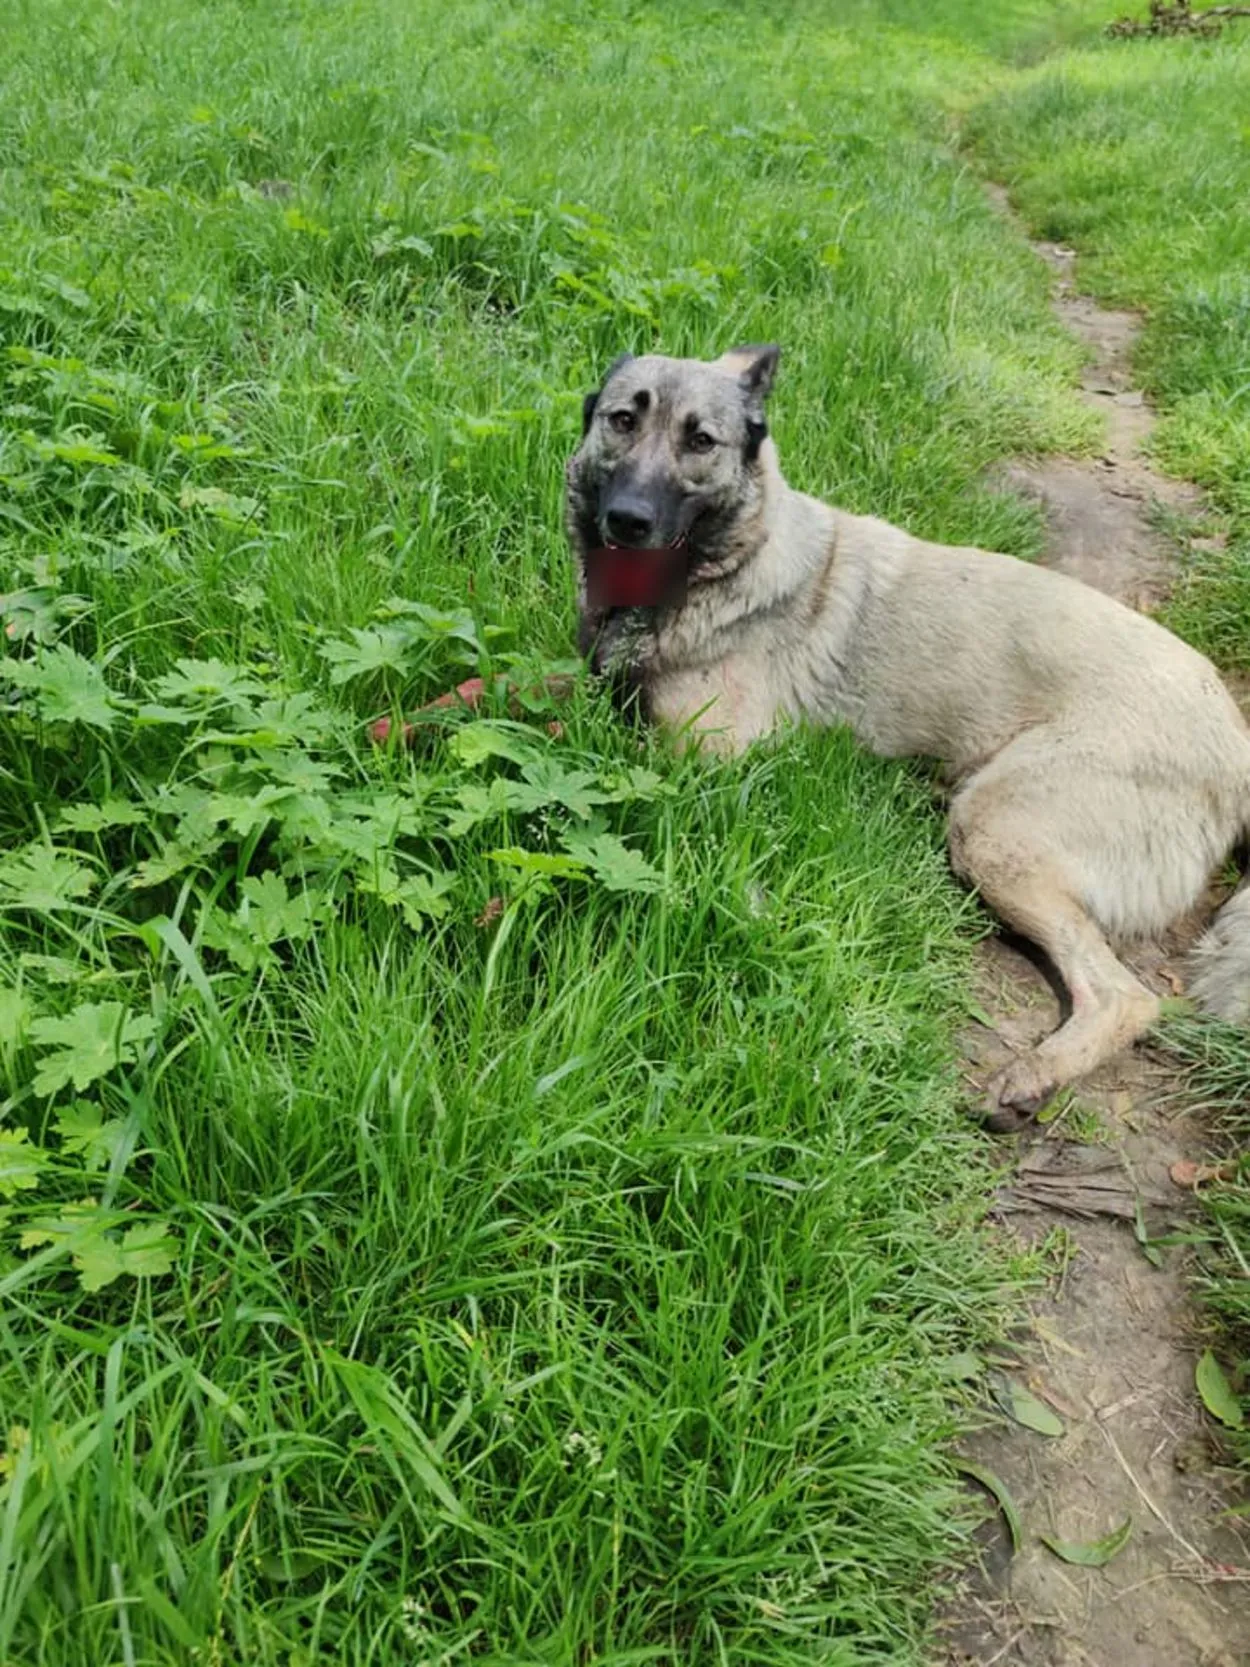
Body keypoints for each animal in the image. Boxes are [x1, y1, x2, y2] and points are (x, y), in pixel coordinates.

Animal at [570, 345, 1250, 1126]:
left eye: (700, 441)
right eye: (624, 420)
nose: (628, 520)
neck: (740, 560)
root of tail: (1238, 744)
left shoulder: (704, 759)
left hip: (994, 829)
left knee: (1126, 996)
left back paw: (1033, 1077)